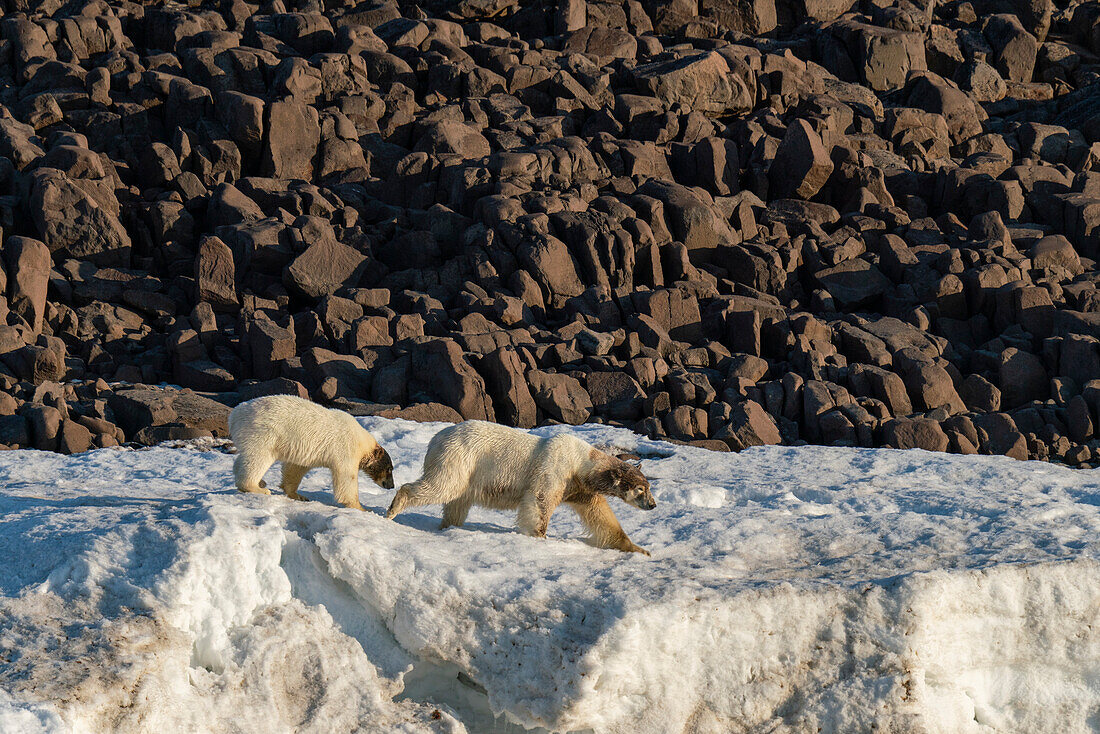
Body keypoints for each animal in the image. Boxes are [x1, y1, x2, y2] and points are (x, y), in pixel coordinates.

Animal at [227, 396, 396, 510]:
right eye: (389, 469)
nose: (392, 485)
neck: (362, 442)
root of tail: (234, 416)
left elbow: (295, 468)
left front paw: (299, 495)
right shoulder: (345, 448)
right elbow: (347, 477)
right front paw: (360, 507)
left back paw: (260, 482)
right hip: (263, 433)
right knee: (257, 459)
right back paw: (258, 487)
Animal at [387, 422, 651, 554]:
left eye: (648, 486)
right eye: (640, 489)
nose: (653, 504)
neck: (582, 460)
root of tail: (435, 438)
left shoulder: (579, 487)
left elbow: (601, 515)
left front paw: (638, 549)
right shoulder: (556, 469)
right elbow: (539, 500)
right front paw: (540, 537)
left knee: (457, 503)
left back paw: (449, 526)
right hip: (459, 458)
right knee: (442, 486)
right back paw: (394, 508)